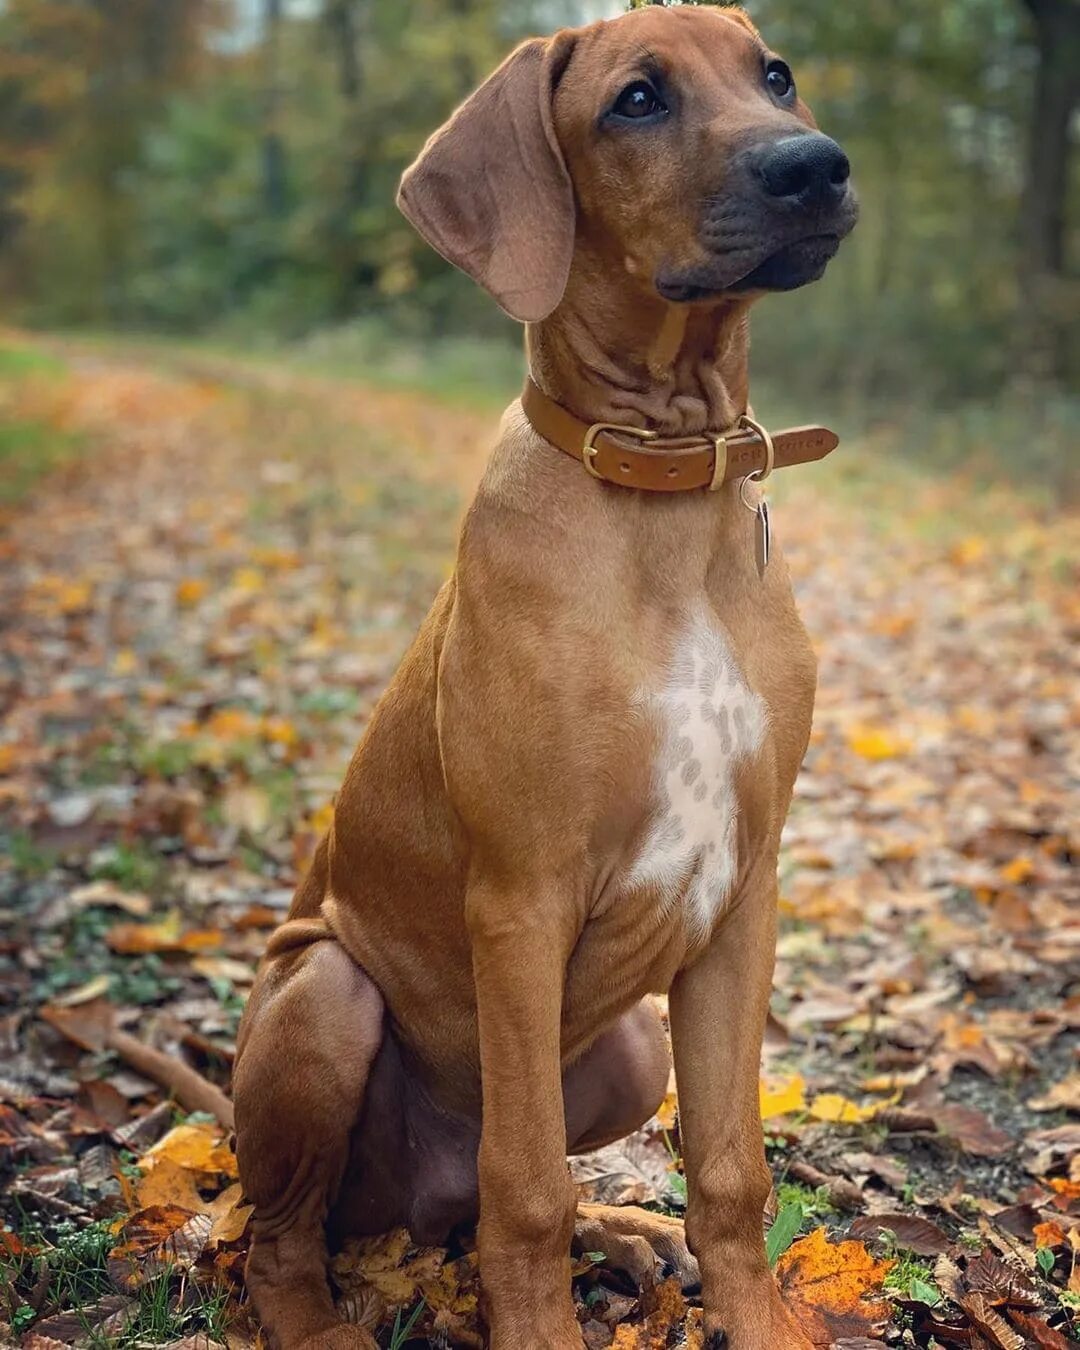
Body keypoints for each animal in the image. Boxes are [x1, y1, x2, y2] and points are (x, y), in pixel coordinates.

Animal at [232, 5, 858, 1344]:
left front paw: (756, 1316)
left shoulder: (746, 892)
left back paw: (622, 1229)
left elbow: (731, 1167)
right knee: (293, 1234)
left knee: (492, 1197)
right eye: (637, 100)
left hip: (628, 1048)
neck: (664, 484)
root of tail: (409, 1216)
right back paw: (319, 1315)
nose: (816, 165)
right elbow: (522, 1186)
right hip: (327, 993)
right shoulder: (519, 899)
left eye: (775, 75)